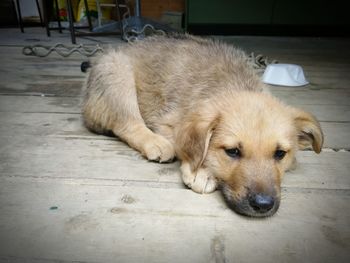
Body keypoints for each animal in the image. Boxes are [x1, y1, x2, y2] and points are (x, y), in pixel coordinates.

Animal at [82, 34, 322, 218]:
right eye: (232, 152)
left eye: (280, 154)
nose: (263, 205)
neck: (232, 84)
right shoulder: (169, 122)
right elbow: (192, 149)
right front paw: (202, 172)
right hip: (117, 73)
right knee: (126, 122)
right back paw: (155, 143)